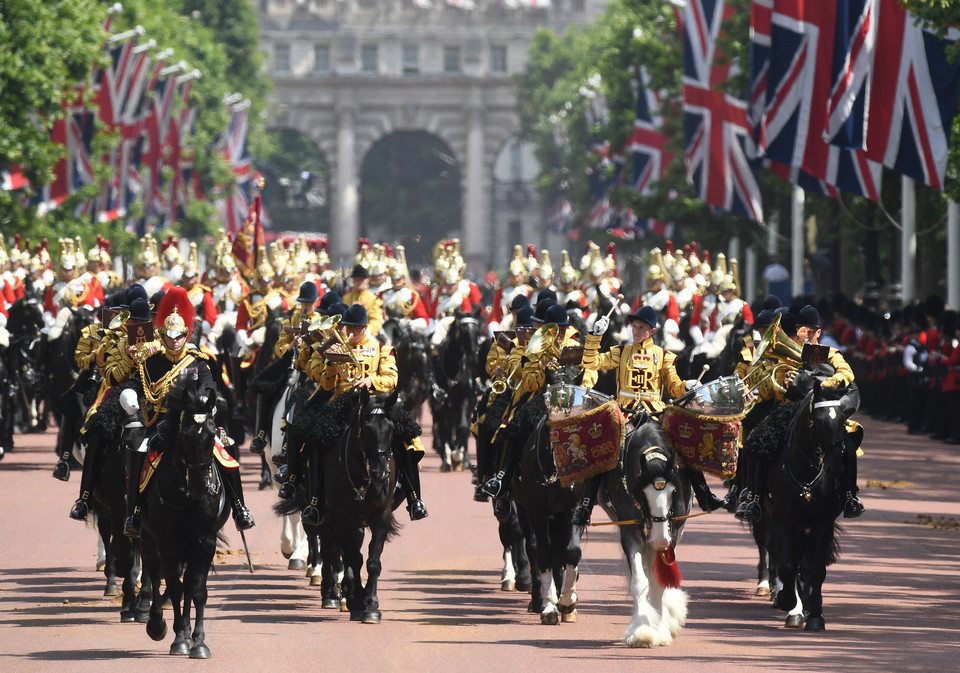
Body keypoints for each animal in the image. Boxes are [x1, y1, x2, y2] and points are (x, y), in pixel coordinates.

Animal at [136, 378, 228, 656]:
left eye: (211, 434)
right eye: (185, 436)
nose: (199, 487)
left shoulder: (204, 541)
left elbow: (196, 589)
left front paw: (198, 641)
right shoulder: (168, 542)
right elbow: (174, 587)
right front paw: (179, 639)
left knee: (184, 582)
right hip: (148, 537)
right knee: (155, 572)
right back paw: (158, 622)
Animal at [434, 312, 484, 470]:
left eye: (478, 331)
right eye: (463, 331)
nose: (473, 358)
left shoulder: (465, 399)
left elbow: (462, 428)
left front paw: (458, 457)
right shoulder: (442, 404)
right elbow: (445, 430)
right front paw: (447, 460)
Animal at [596, 420, 692, 644]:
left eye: (673, 491)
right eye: (642, 494)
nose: (659, 538)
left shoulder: (673, 533)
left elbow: (659, 582)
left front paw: (660, 629)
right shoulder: (630, 533)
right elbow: (640, 581)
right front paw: (642, 630)